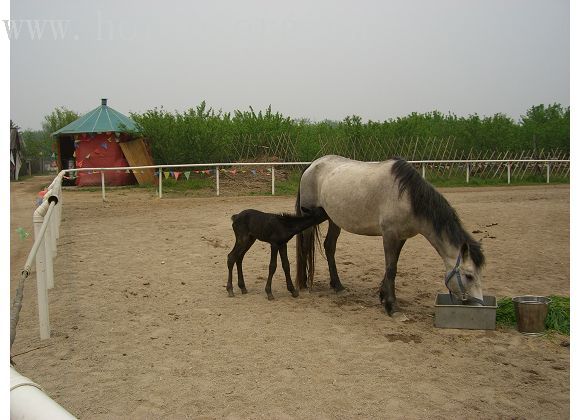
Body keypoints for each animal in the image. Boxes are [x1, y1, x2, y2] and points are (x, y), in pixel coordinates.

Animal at [294, 154, 484, 316]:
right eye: (469, 276)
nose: (479, 305)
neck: (407, 197)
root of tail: (312, 165)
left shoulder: (401, 237)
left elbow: (392, 266)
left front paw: (383, 296)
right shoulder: (389, 235)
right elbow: (392, 268)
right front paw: (392, 307)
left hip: (334, 219)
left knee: (329, 247)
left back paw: (337, 286)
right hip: (309, 218)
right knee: (305, 246)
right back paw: (304, 284)